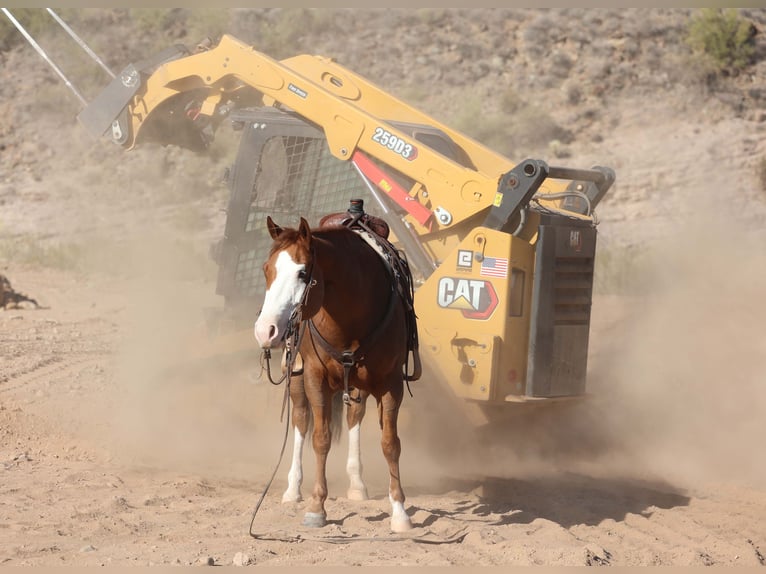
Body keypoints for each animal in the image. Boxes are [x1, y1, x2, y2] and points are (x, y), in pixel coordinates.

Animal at [255, 217, 416, 536]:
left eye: (303, 273)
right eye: (267, 269)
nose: (265, 330)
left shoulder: (391, 383)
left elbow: (390, 444)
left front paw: (400, 512)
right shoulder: (314, 378)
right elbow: (320, 438)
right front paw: (317, 507)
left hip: (359, 385)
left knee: (355, 416)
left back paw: (357, 484)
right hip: (296, 376)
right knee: (301, 421)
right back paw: (293, 488)